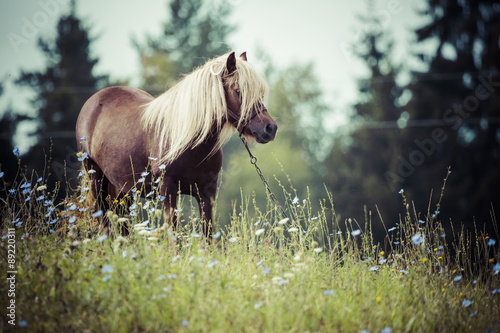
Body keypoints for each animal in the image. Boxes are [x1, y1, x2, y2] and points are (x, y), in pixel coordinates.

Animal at [75, 52, 278, 236]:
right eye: (237, 90)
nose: (270, 128)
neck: (189, 143)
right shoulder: (168, 191)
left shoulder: (207, 194)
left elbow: (208, 236)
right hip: (96, 179)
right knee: (105, 224)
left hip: (124, 190)